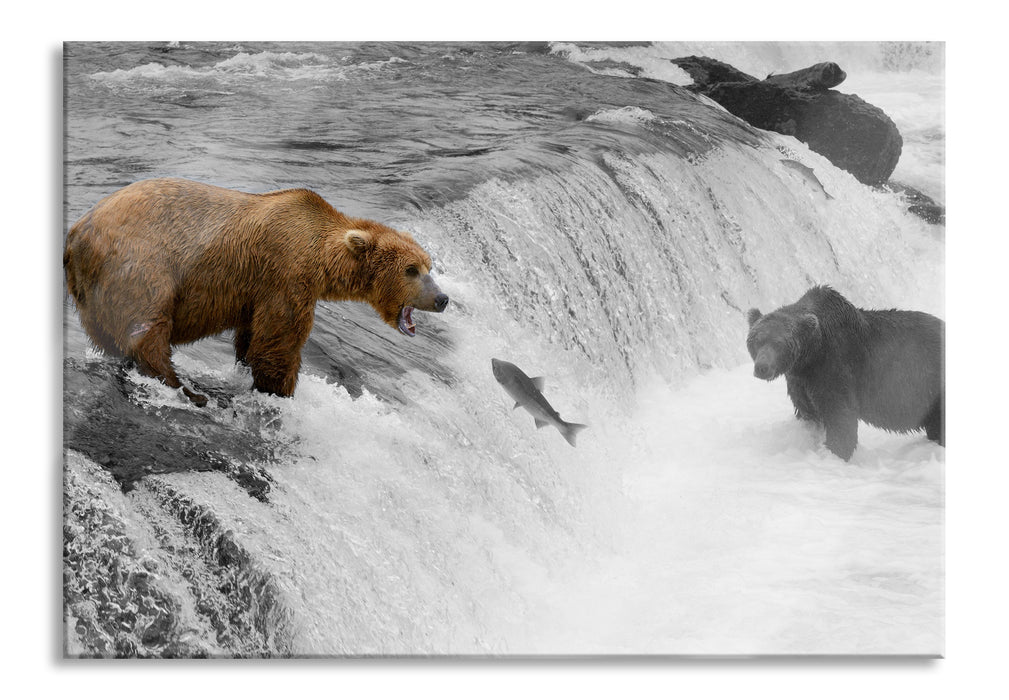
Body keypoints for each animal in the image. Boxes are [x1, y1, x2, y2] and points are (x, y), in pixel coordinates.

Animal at [63, 177, 449, 407]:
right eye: (411, 270)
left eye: (429, 265)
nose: (442, 299)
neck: (321, 257)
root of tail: (76, 232)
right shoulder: (286, 274)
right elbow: (279, 341)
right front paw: (280, 388)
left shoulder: (258, 290)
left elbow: (252, 337)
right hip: (141, 264)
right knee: (148, 329)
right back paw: (187, 389)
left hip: (93, 290)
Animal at [745, 285, 943, 460]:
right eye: (756, 340)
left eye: (778, 343)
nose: (762, 367)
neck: (811, 356)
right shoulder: (799, 380)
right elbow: (807, 410)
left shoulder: (835, 366)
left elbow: (840, 415)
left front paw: (835, 452)